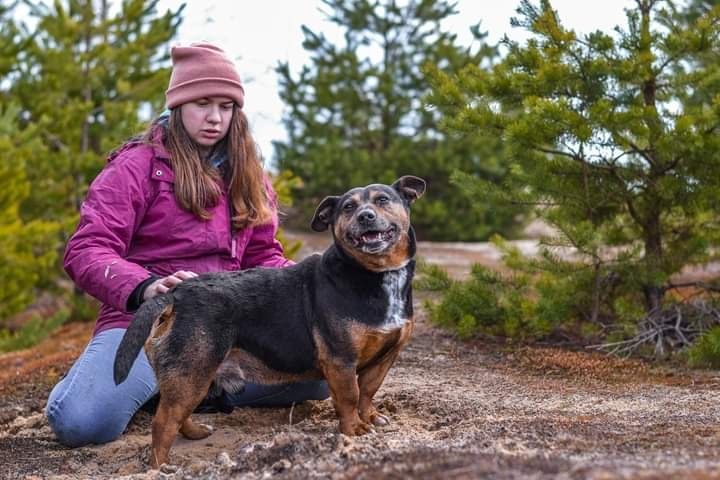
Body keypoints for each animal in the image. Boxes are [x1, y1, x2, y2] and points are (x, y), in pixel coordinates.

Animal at [114, 174, 424, 466]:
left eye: (383, 200)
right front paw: (354, 430)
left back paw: (194, 432)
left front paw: (370, 417)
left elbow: (368, 391)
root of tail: (177, 293)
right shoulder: (341, 360)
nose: (365, 216)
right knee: (163, 422)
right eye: (348, 207)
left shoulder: (385, 357)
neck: (375, 273)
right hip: (192, 371)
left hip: (196, 374)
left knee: (178, 414)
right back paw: (159, 467)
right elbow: (349, 397)